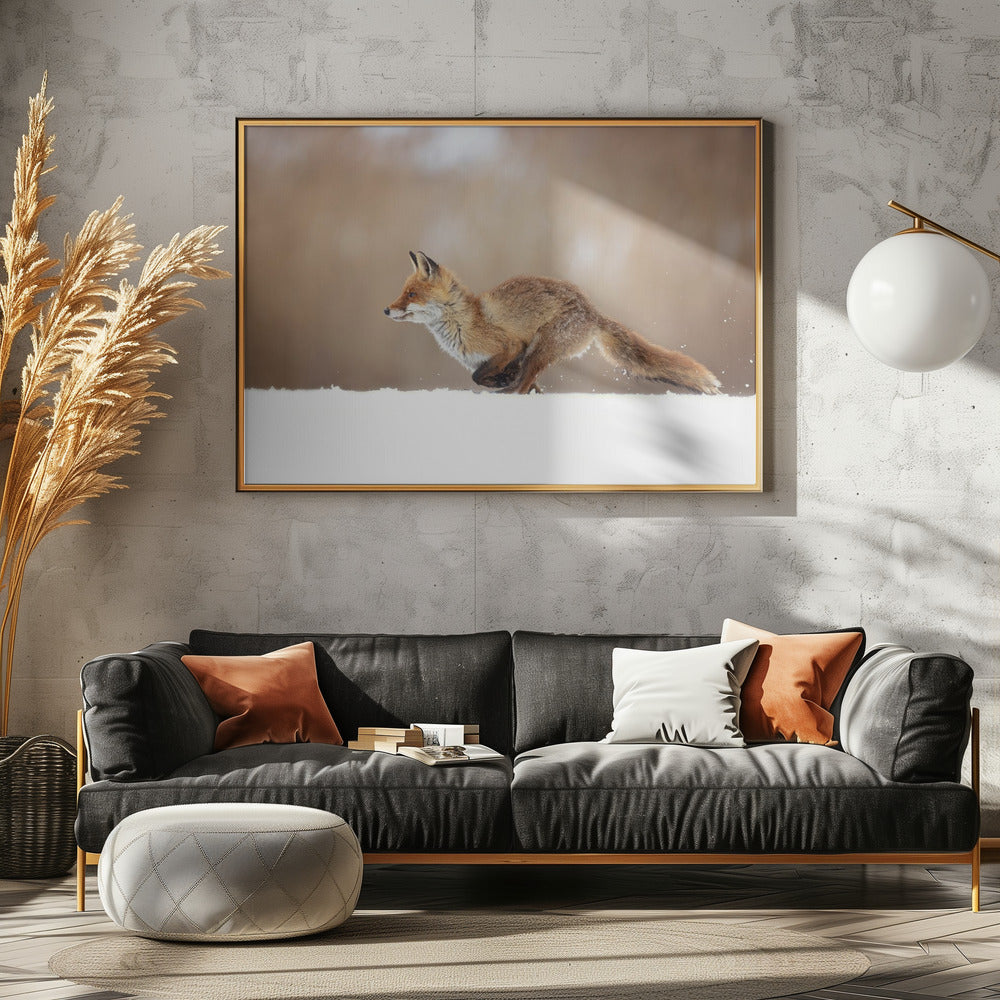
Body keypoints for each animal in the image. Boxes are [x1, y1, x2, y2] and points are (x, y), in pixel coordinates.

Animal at [383, 250, 721, 395]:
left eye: (411, 294)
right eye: (402, 292)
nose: (386, 310)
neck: (464, 320)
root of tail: (592, 310)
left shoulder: (511, 345)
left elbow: (479, 376)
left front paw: (500, 383)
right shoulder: (504, 357)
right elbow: (488, 376)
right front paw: (502, 381)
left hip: (541, 348)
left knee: (523, 384)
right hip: (540, 353)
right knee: (527, 382)